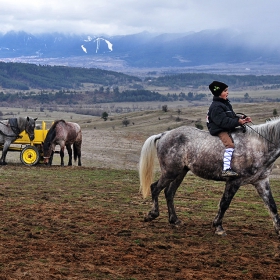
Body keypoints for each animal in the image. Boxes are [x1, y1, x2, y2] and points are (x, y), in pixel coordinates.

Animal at [139, 117, 280, 236]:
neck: (258, 146)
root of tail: (164, 134)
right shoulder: (234, 181)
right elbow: (224, 203)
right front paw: (218, 227)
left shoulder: (261, 182)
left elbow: (272, 205)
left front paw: (278, 229)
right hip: (170, 172)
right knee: (155, 188)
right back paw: (152, 214)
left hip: (180, 172)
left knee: (169, 192)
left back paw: (175, 220)